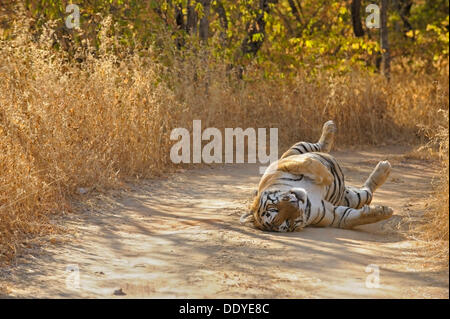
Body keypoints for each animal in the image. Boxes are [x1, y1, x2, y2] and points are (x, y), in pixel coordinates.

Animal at [241, 120, 392, 232]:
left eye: (273, 208)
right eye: (287, 222)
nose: (295, 203)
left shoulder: (280, 165)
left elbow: (309, 163)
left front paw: (330, 174)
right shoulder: (333, 214)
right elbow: (352, 218)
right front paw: (384, 212)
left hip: (297, 148)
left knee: (318, 147)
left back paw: (329, 128)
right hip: (354, 198)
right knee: (367, 192)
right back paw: (384, 169)